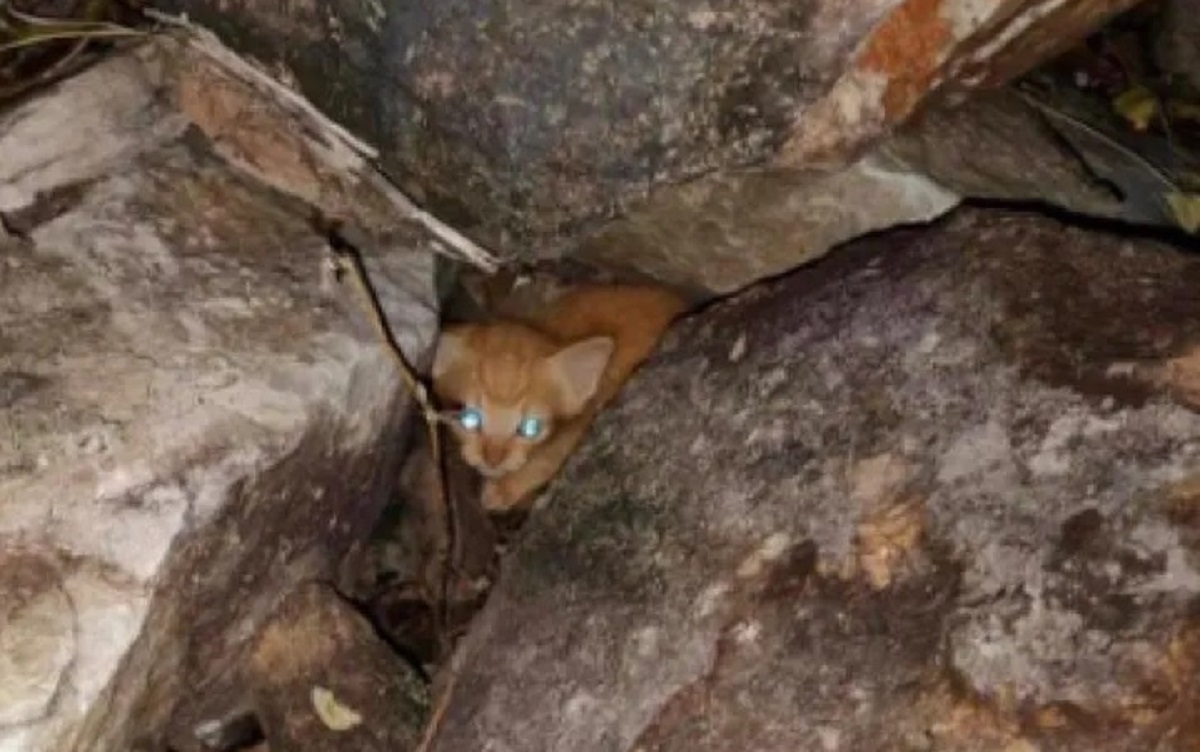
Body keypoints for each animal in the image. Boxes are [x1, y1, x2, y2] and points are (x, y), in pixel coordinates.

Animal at [436, 285, 691, 515]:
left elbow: (548, 457)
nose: (493, 460)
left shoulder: (588, 414)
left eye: (530, 428)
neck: (555, 328)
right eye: (469, 418)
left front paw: (504, 489)